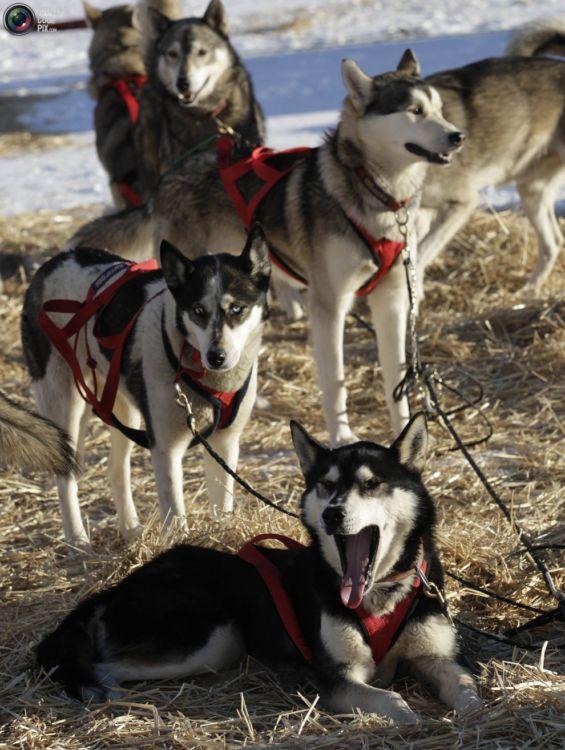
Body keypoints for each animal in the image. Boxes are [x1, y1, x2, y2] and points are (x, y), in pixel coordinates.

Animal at [20, 226, 270, 548]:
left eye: (237, 309)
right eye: (198, 310)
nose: (217, 357)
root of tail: (52, 263)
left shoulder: (225, 445)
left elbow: (223, 505)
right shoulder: (166, 450)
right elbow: (175, 515)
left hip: (122, 409)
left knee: (116, 470)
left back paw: (130, 528)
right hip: (66, 407)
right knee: (66, 477)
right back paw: (77, 539)